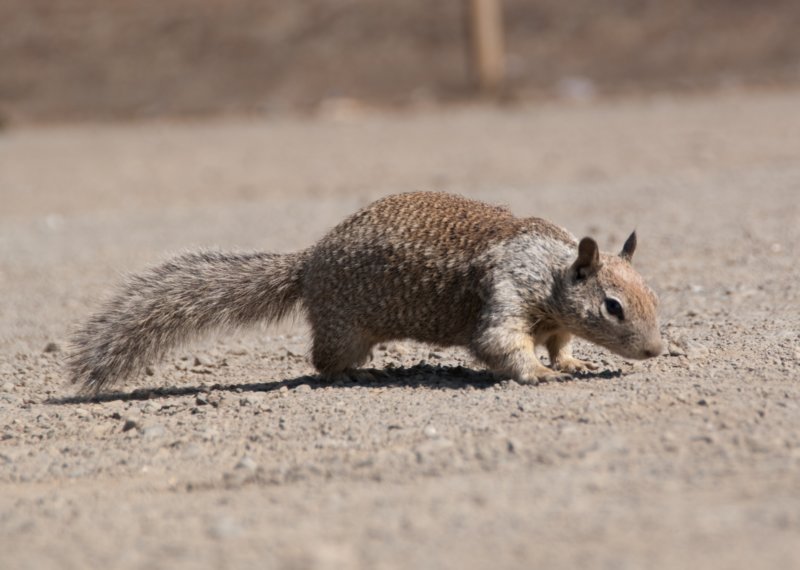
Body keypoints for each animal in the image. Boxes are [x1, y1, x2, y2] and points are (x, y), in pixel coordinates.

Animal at [69, 191, 664, 390]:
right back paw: (356, 373)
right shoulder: (507, 295)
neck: (551, 271)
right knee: (321, 362)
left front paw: (569, 363)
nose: (657, 351)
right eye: (613, 307)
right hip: (345, 329)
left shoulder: (556, 320)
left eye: (654, 299)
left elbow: (561, 341)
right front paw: (539, 373)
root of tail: (308, 262)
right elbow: (498, 343)